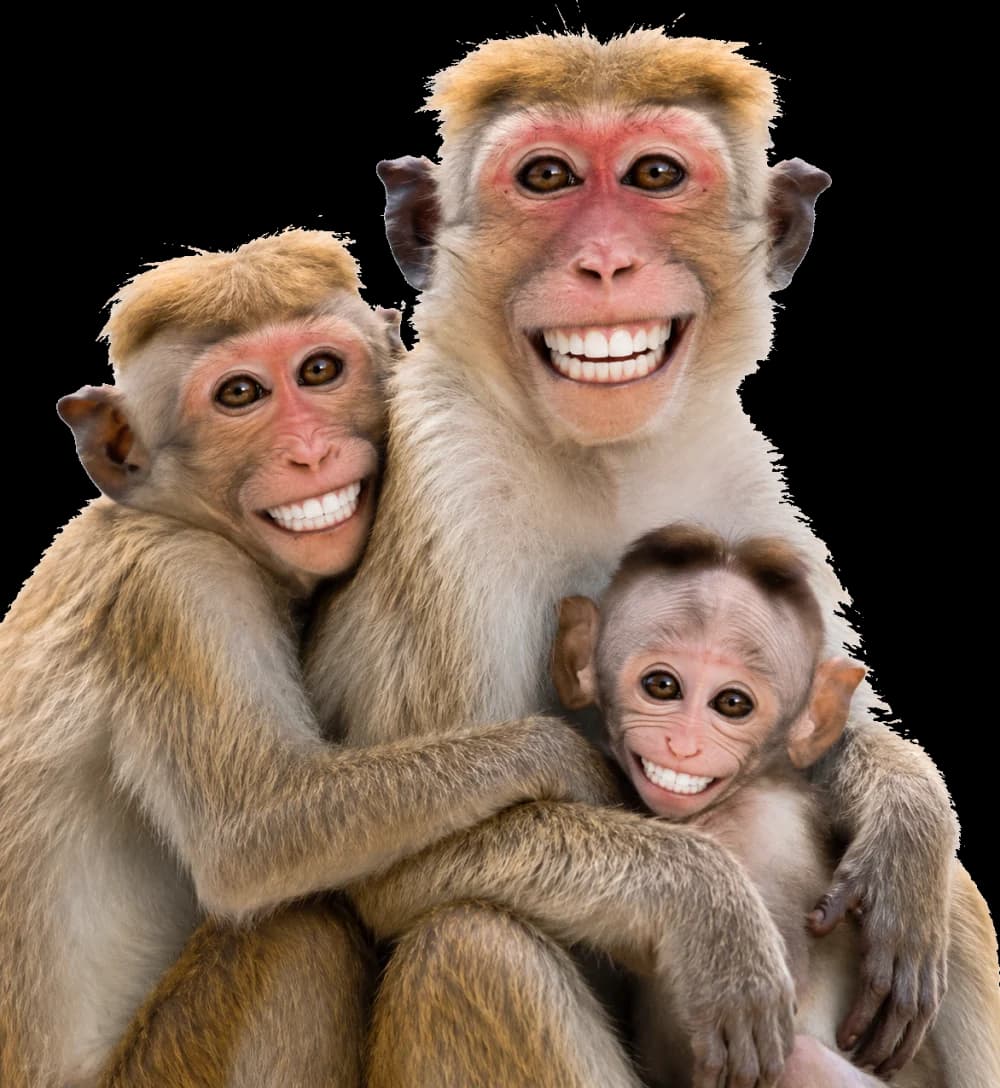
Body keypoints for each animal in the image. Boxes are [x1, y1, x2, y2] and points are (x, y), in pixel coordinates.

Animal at [0, 229, 614, 1088]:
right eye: (240, 395)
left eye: (319, 371)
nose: (310, 452)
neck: (177, 515)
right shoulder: (179, 589)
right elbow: (254, 832)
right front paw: (570, 761)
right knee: (303, 934)